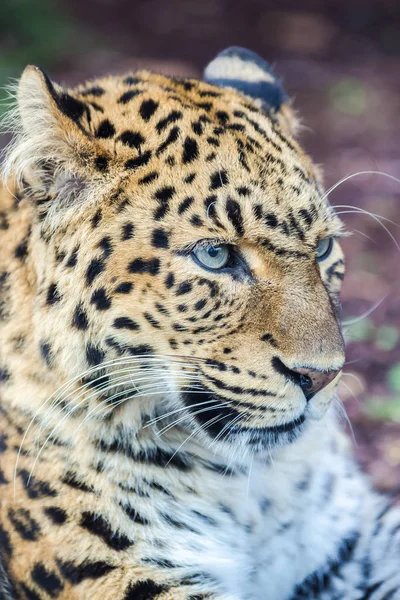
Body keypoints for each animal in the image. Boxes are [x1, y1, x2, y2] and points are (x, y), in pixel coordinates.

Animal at [0, 47, 398, 600]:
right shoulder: (124, 575)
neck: (249, 488)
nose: (321, 378)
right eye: (215, 255)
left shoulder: (349, 544)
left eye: (322, 248)